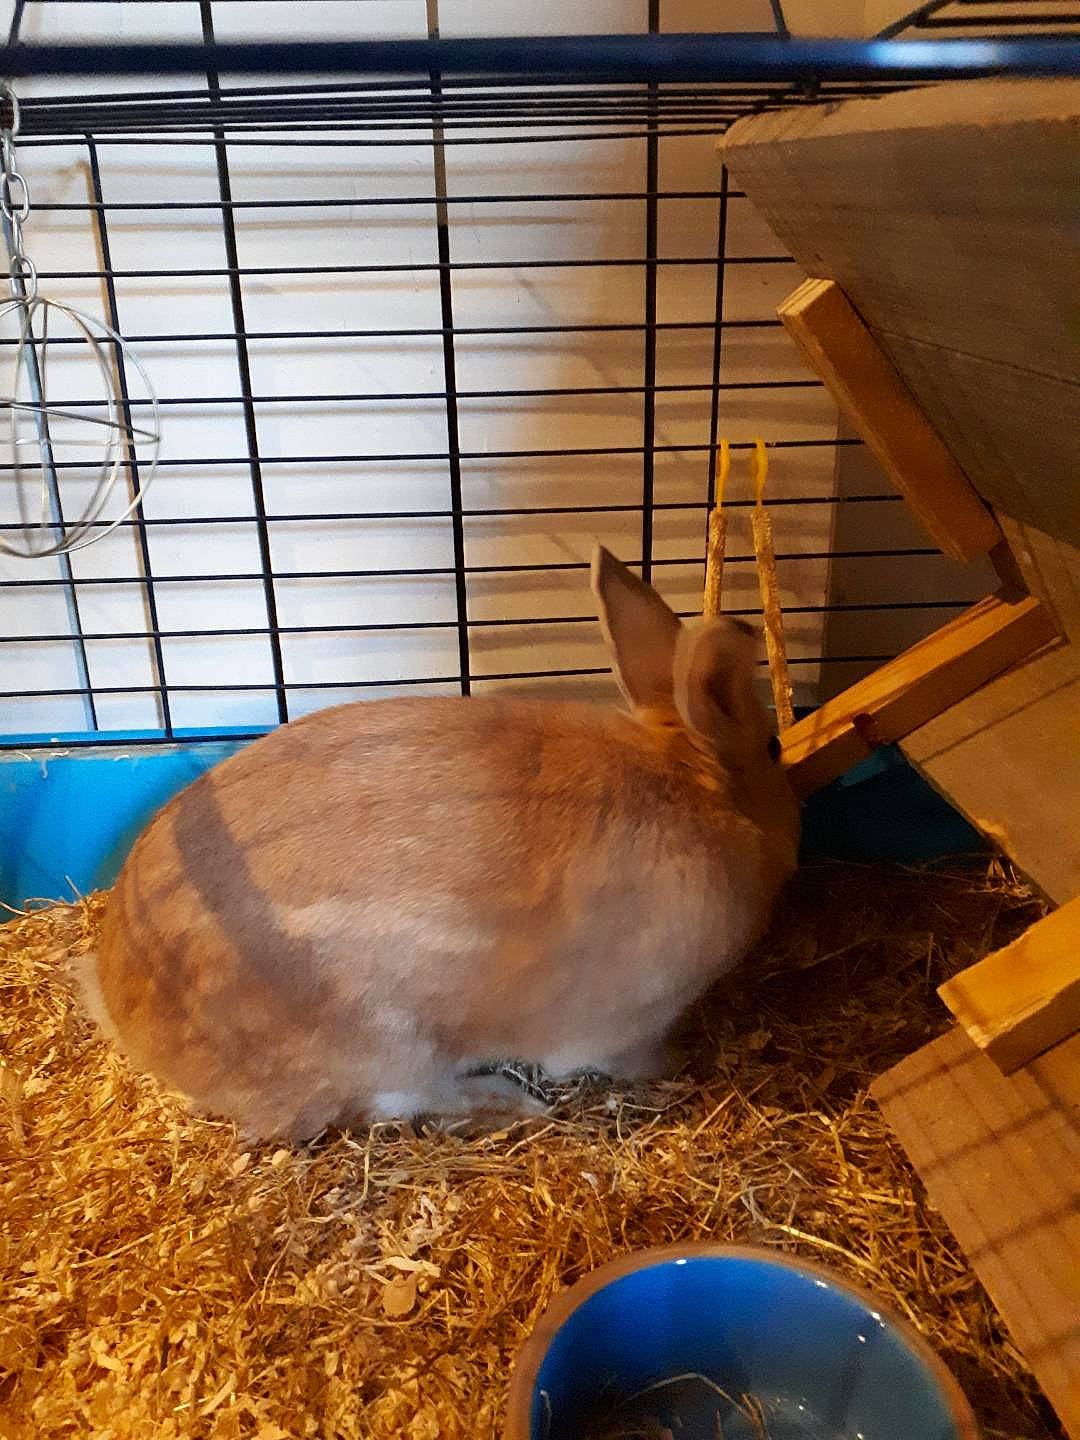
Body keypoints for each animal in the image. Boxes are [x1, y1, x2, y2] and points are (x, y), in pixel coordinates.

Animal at [73, 545, 800, 1142]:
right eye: (772, 748)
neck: (687, 782)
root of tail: (127, 1010)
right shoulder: (619, 1026)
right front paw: (674, 1064)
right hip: (385, 1048)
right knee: (394, 1103)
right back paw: (509, 1104)